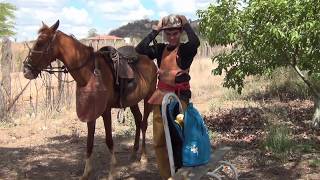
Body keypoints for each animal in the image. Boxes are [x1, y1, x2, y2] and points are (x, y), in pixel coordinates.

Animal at [22, 20, 158, 179]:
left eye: (40, 43)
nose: (26, 70)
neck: (90, 72)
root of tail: (150, 61)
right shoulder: (90, 110)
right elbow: (89, 142)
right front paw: (86, 172)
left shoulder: (105, 111)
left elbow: (109, 140)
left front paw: (112, 172)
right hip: (133, 101)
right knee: (138, 120)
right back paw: (133, 152)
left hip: (148, 98)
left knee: (144, 124)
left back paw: (143, 157)